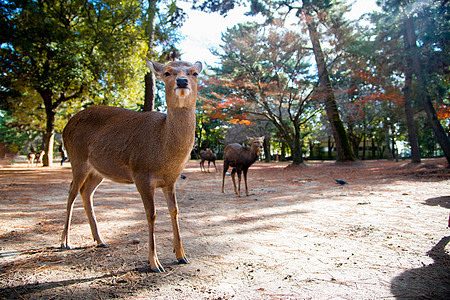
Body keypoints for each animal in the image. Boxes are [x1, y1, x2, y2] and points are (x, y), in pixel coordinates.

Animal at [59, 59, 202, 274]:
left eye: (194, 72)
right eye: (167, 72)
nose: (182, 81)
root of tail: (65, 127)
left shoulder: (171, 180)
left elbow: (175, 211)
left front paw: (181, 256)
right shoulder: (141, 174)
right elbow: (151, 214)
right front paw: (154, 263)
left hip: (97, 170)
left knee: (86, 192)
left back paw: (100, 240)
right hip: (77, 157)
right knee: (71, 192)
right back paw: (65, 241)